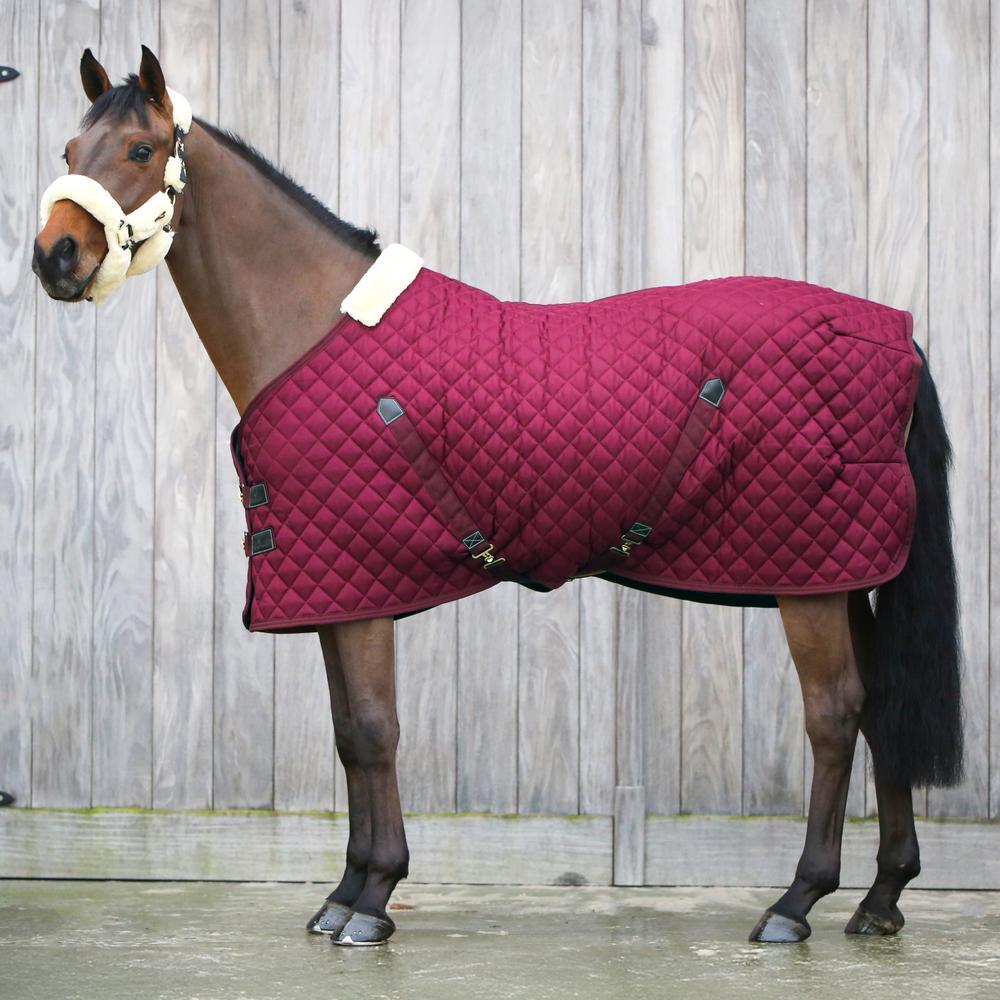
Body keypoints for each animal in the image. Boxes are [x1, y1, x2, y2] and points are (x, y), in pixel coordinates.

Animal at [33, 47, 962, 948]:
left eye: (141, 150)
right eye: (69, 152)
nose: (55, 258)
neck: (313, 326)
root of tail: (892, 331)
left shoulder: (364, 589)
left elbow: (374, 729)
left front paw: (373, 900)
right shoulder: (333, 589)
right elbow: (348, 736)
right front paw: (344, 893)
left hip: (812, 583)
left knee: (835, 717)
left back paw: (796, 904)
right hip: (844, 574)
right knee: (883, 709)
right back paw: (880, 900)